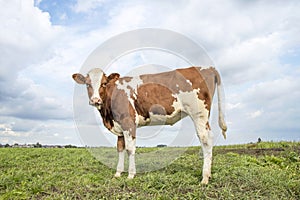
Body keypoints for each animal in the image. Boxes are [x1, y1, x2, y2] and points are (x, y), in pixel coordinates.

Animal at [73, 66, 227, 184]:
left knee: (206, 140)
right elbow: (120, 149)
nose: (95, 100)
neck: (107, 115)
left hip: (199, 114)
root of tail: (207, 68)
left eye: (104, 83)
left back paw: (205, 178)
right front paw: (118, 173)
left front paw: (130, 175)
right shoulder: (120, 126)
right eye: (87, 84)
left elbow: (130, 149)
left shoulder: (129, 122)